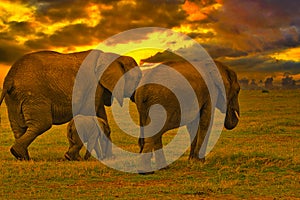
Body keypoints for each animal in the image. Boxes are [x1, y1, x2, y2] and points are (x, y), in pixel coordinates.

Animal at [0, 49, 142, 161]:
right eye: (137, 79)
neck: (112, 56)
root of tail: (9, 78)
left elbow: (100, 115)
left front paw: (109, 158)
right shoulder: (93, 85)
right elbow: (90, 113)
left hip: (14, 97)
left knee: (19, 127)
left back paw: (22, 156)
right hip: (34, 95)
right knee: (41, 124)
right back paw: (21, 154)